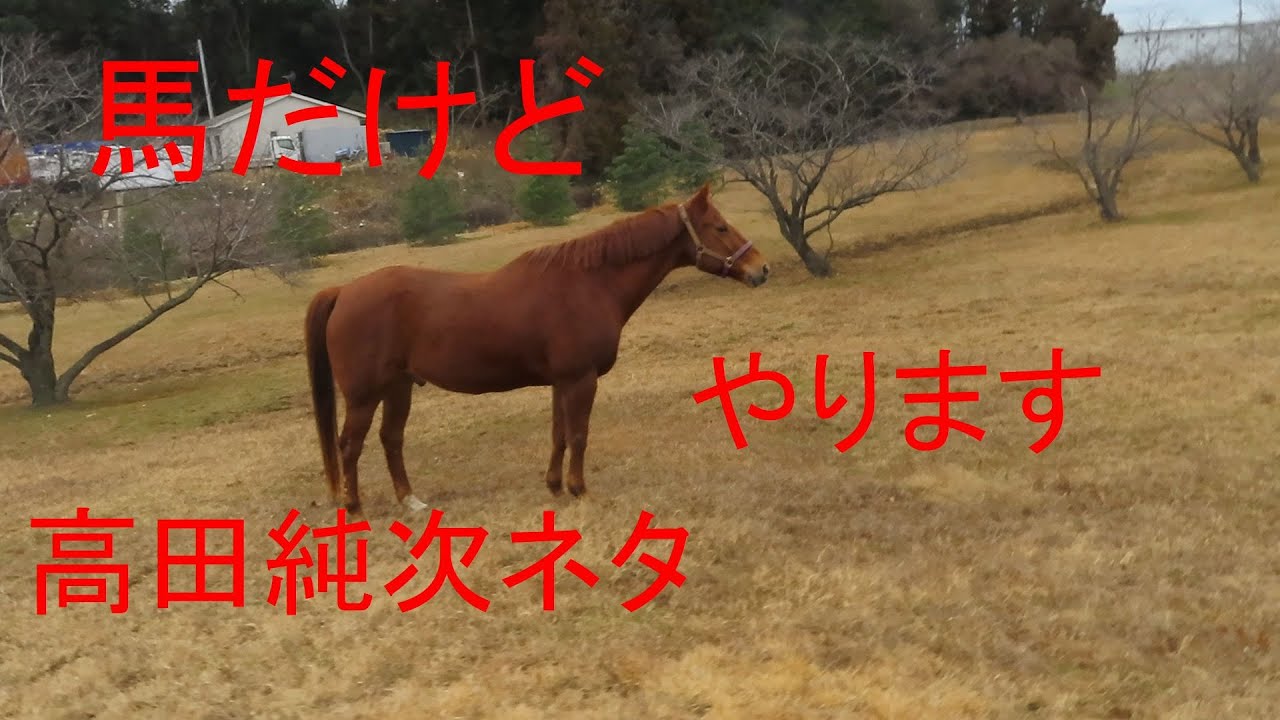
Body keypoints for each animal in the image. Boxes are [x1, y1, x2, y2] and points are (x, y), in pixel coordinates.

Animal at [303, 182, 770, 519]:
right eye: (720, 228)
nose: (760, 269)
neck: (589, 283)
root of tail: (343, 291)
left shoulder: (561, 381)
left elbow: (559, 435)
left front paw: (555, 486)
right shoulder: (580, 379)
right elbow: (579, 435)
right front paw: (580, 490)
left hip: (399, 387)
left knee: (391, 439)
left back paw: (410, 501)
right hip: (364, 395)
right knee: (349, 445)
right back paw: (354, 508)